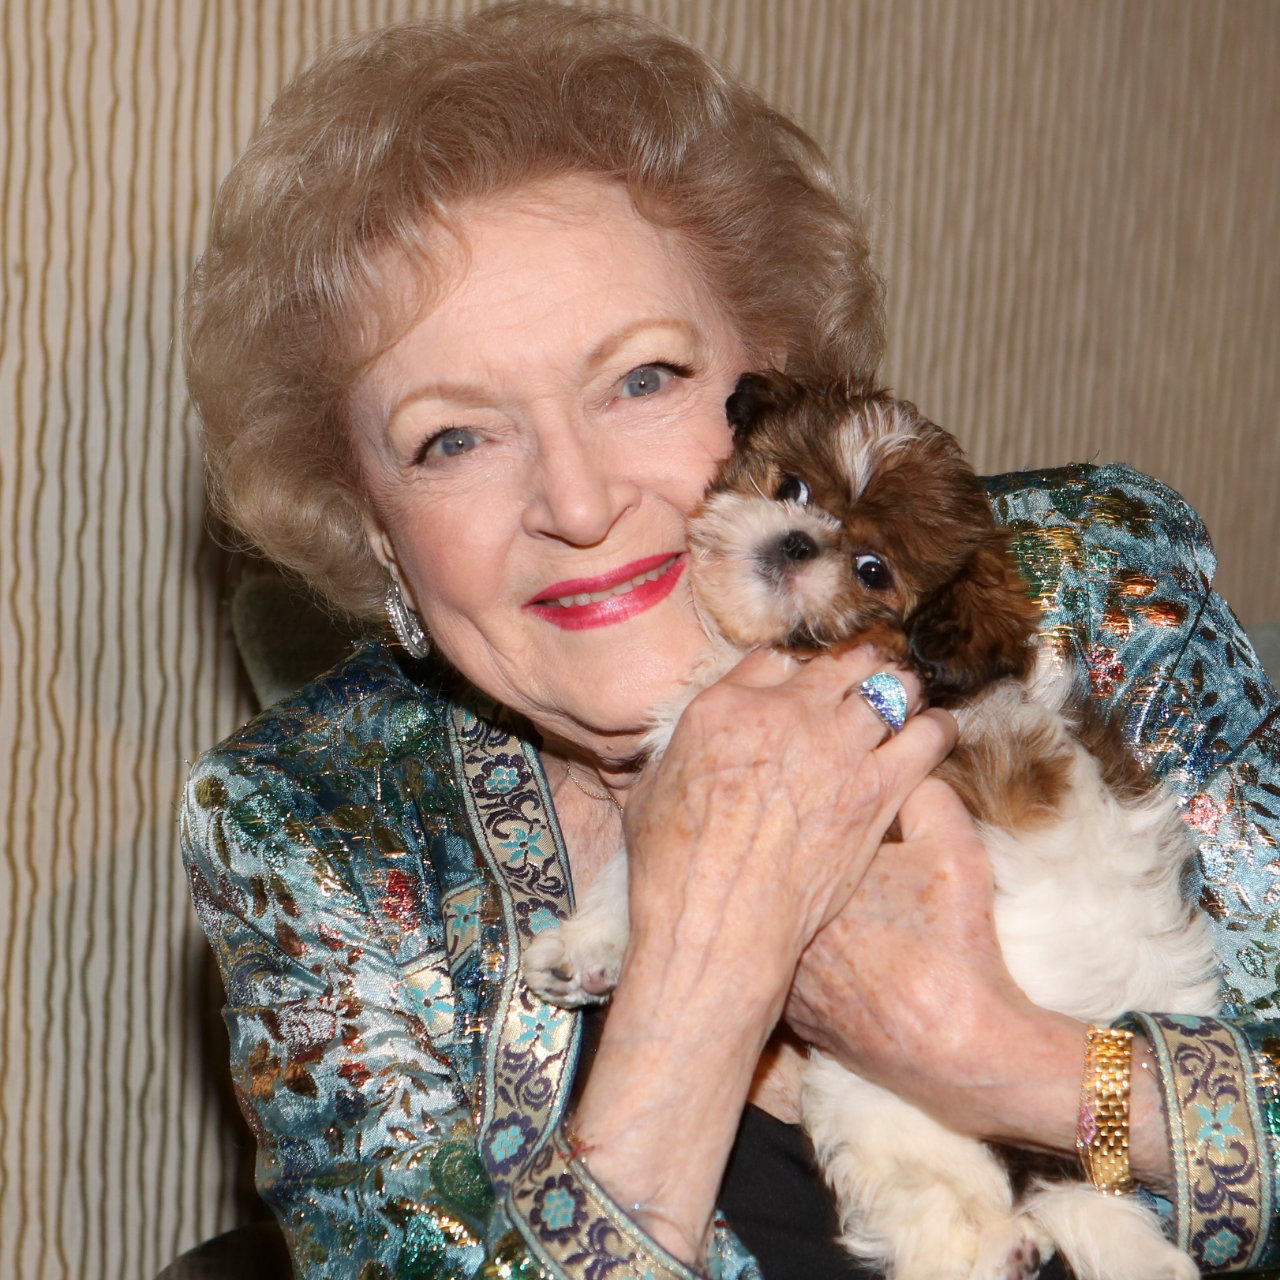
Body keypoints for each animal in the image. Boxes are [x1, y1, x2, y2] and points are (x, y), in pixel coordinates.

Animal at [522, 371, 1218, 1280]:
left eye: (872, 569)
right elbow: (645, 867)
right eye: (792, 488)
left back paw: (985, 1250)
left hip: (890, 1071)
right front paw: (586, 946)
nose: (795, 544)